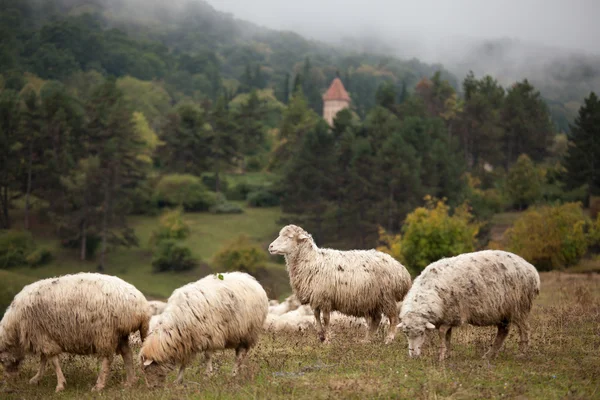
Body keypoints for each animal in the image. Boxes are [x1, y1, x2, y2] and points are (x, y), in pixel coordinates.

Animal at [0, 274, 150, 392]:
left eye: (1, 360)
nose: (9, 378)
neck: (15, 327)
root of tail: (140, 304)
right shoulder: (44, 335)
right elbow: (44, 359)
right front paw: (36, 379)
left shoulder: (40, 334)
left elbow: (52, 360)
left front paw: (60, 385)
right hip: (120, 333)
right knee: (127, 354)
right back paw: (130, 382)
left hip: (105, 332)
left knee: (107, 358)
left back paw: (99, 385)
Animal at [139, 270, 268, 386]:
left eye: (147, 369)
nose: (151, 387)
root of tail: (252, 280)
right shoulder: (188, 341)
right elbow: (184, 362)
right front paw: (178, 380)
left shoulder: (210, 335)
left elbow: (207, 356)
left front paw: (207, 375)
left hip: (248, 333)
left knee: (239, 356)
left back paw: (233, 375)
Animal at [268, 225, 412, 344]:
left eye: (289, 237)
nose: (270, 247)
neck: (312, 261)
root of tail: (401, 270)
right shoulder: (316, 298)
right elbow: (316, 317)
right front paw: (321, 336)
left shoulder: (325, 298)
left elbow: (326, 319)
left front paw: (327, 339)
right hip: (373, 300)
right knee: (376, 320)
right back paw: (366, 340)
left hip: (387, 297)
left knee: (393, 318)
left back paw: (389, 339)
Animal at [396, 250, 540, 360]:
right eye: (405, 333)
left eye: (421, 332)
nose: (413, 356)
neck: (430, 290)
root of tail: (531, 269)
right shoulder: (447, 317)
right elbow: (447, 336)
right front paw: (447, 354)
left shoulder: (452, 315)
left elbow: (442, 334)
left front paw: (442, 356)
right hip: (503, 311)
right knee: (503, 332)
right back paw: (489, 355)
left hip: (520, 306)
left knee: (525, 329)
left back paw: (522, 353)